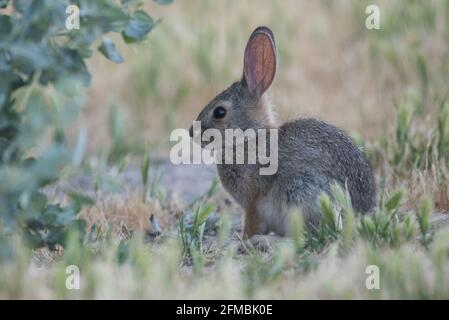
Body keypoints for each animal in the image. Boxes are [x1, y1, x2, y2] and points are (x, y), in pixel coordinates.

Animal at [188, 26, 374, 242]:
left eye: (219, 112)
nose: (191, 132)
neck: (249, 137)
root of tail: (362, 214)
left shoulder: (253, 196)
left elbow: (252, 220)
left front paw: (245, 238)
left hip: (301, 190)